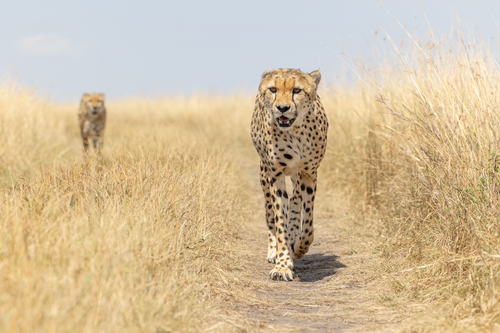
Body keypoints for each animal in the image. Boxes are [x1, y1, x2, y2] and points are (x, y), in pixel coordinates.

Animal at [250, 67, 328, 280]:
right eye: (273, 89)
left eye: (297, 90)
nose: (282, 108)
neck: (295, 132)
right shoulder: (275, 174)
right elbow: (279, 221)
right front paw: (282, 264)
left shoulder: (309, 172)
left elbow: (307, 222)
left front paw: (300, 247)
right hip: (264, 176)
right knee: (270, 213)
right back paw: (273, 251)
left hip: (296, 174)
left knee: (295, 201)